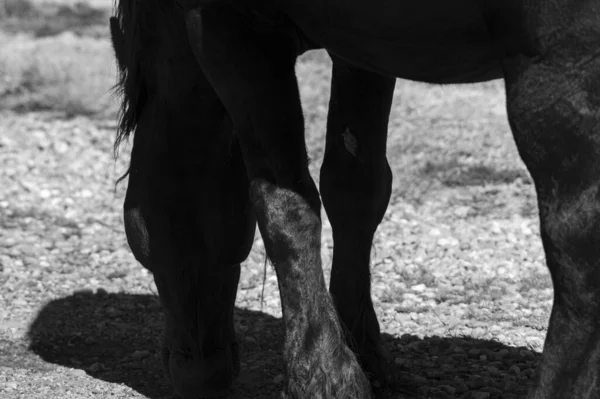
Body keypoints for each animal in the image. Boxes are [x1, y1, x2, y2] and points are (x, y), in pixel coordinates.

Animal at [110, 0, 600, 399]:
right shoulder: (363, 47)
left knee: (578, 256)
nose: (199, 372)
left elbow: (283, 202)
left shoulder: (227, 28)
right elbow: (355, 189)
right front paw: (363, 354)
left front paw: (322, 375)